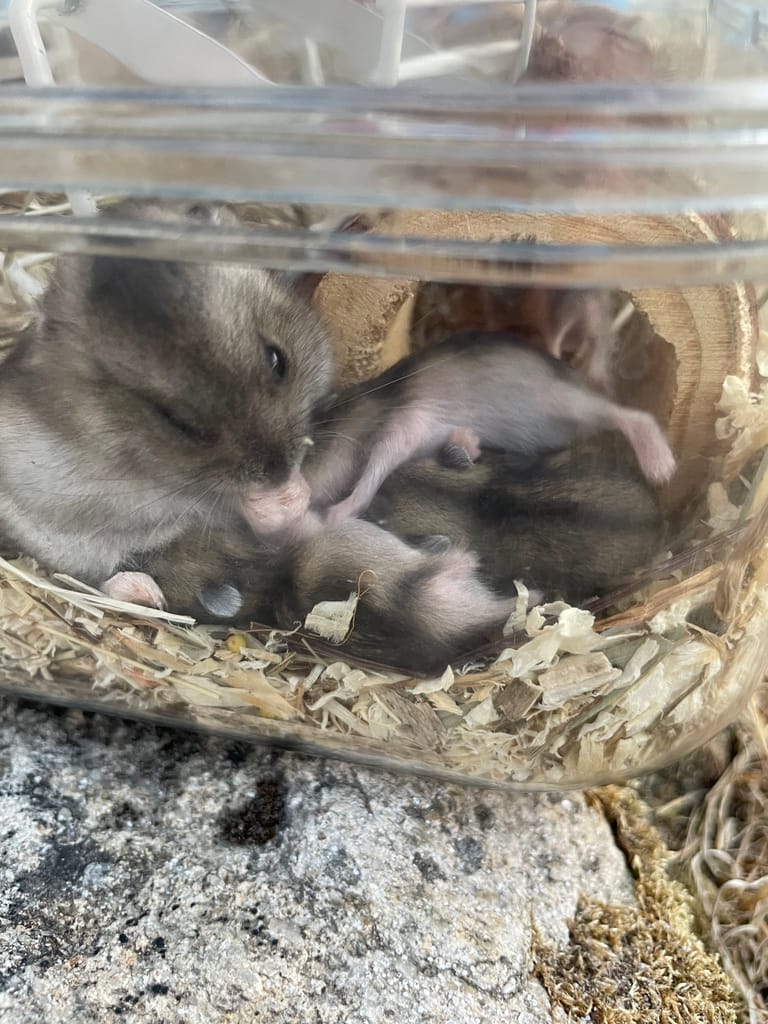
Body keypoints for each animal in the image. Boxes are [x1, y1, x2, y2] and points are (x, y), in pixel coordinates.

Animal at [305, 330, 675, 526]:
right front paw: (467, 442)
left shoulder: (401, 428)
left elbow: (371, 474)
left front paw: (334, 514)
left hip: (562, 398)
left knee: (632, 415)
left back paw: (661, 468)